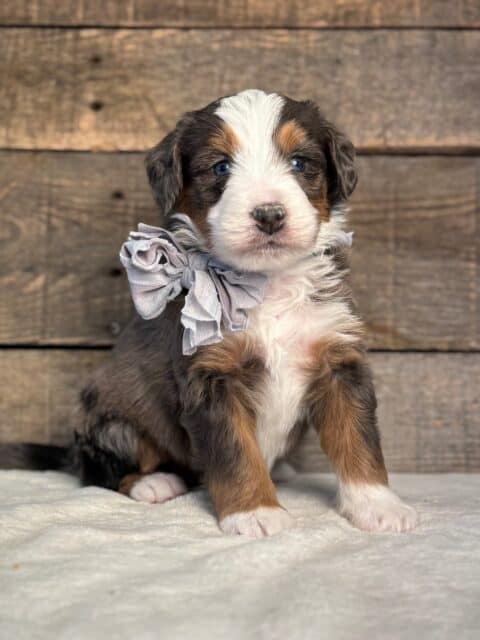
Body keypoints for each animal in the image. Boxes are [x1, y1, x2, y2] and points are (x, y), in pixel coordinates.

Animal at [0, 90, 416, 536]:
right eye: (220, 166)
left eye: (300, 162)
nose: (269, 215)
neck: (264, 284)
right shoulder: (211, 378)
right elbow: (236, 453)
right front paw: (256, 512)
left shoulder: (339, 361)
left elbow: (358, 439)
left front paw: (378, 505)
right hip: (113, 421)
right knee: (97, 469)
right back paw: (154, 483)